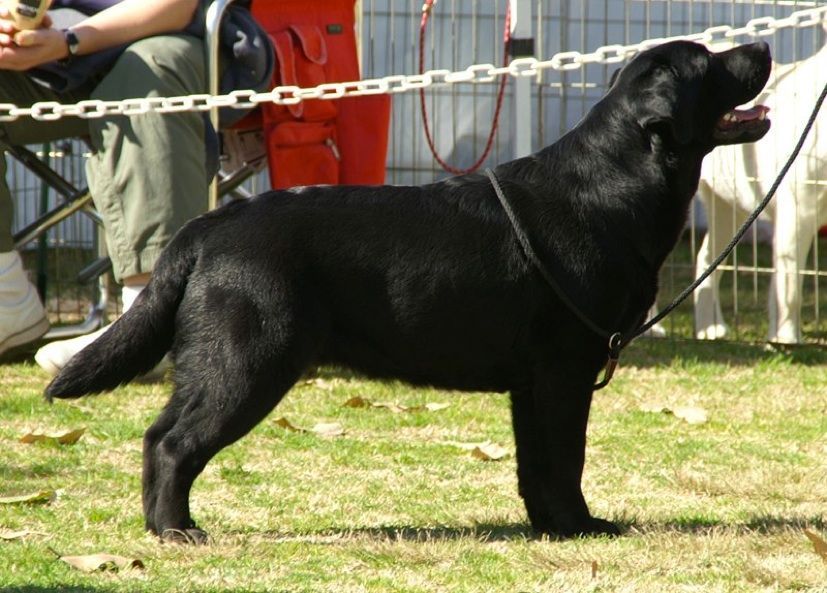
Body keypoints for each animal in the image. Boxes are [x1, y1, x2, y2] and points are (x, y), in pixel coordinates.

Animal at [45, 40, 771, 544]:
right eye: (708, 62)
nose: (763, 46)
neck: (616, 182)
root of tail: (209, 224)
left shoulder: (531, 382)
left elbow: (536, 464)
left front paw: (550, 527)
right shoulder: (564, 369)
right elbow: (566, 458)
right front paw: (580, 525)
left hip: (221, 361)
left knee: (156, 435)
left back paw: (158, 527)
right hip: (248, 360)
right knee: (173, 443)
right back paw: (178, 531)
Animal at [694, 41, 825, 344]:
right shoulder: (798, 213)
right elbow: (789, 288)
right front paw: (787, 340)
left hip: (728, 210)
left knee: (706, 260)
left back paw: (710, 328)